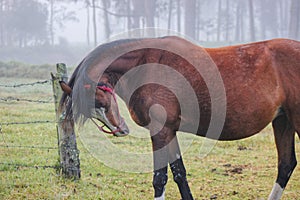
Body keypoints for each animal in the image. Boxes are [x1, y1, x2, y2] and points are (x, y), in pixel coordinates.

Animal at [59, 36, 300, 200]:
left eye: (100, 101)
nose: (121, 130)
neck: (147, 66)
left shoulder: (160, 131)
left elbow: (160, 178)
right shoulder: (169, 130)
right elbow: (179, 174)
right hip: (283, 122)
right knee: (286, 165)